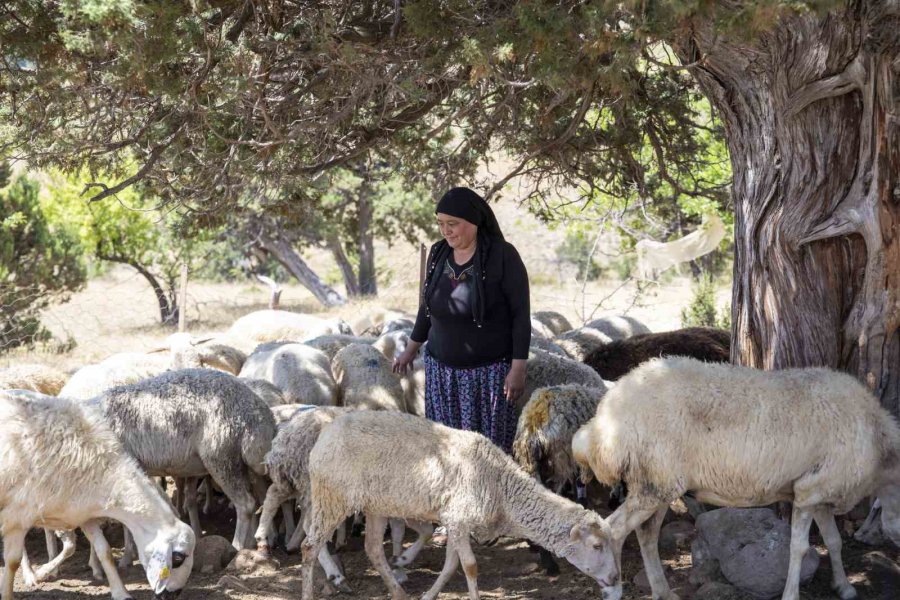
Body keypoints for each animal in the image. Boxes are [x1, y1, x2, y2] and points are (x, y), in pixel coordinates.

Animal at [0, 390, 195, 600]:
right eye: (178, 558)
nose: (172, 595)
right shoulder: (18, 516)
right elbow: (12, 562)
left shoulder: (84, 515)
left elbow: (105, 551)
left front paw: (121, 592)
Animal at [298, 412, 624, 600]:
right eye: (597, 546)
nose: (613, 578)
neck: (501, 485)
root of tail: (324, 434)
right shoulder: (458, 518)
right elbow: (470, 566)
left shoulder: (455, 521)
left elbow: (451, 565)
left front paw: (428, 595)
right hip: (332, 496)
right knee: (309, 547)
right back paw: (310, 593)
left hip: (376, 504)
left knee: (374, 549)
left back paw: (399, 592)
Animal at [572, 356, 900, 600]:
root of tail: (603, 423)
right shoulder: (810, 492)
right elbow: (800, 547)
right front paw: (792, 593)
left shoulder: (817, 494)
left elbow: (833, 541)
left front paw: (844, 587)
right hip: (654, 484)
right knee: (613, 531)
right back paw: (614, 589)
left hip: (656, 482)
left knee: (646, 535)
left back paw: (663, 591)